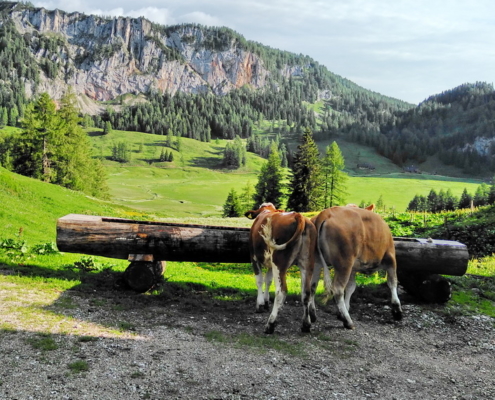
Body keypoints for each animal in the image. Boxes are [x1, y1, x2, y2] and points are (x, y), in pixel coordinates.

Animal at [244, 203, 318, 334]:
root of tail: (298, 216)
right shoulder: (270, 264)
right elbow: (268, 280)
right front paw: (266, 302)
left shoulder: (254, 257)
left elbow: (259, 281)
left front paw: (260, 304)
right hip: (307, 263)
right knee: (306, 292)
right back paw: (306, 325)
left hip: (279, 263)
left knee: (281, 291)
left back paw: (270, 324)